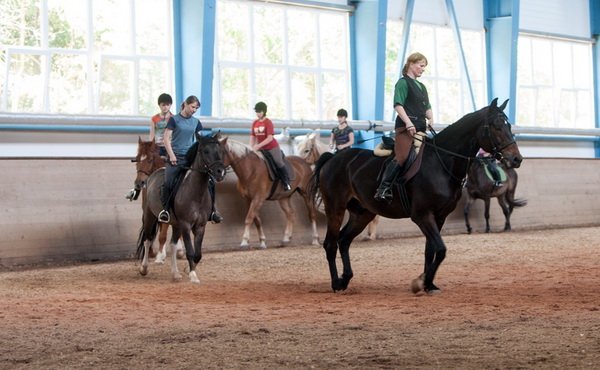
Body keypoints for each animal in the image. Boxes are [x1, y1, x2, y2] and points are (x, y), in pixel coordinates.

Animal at [312, 99, 524, 294]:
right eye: (496, 126)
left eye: (509, 126)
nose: (516, 159)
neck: (441, 163)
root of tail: (333, 158)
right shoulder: (422, 215)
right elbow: (441, 250)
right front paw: (421, 282)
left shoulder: (439, 216)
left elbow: (431, 250)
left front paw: (428, 284)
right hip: (335, 208)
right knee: (331, 244)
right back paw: (336, 283)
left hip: (362, 214)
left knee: (344, 240)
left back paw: (345, 279)